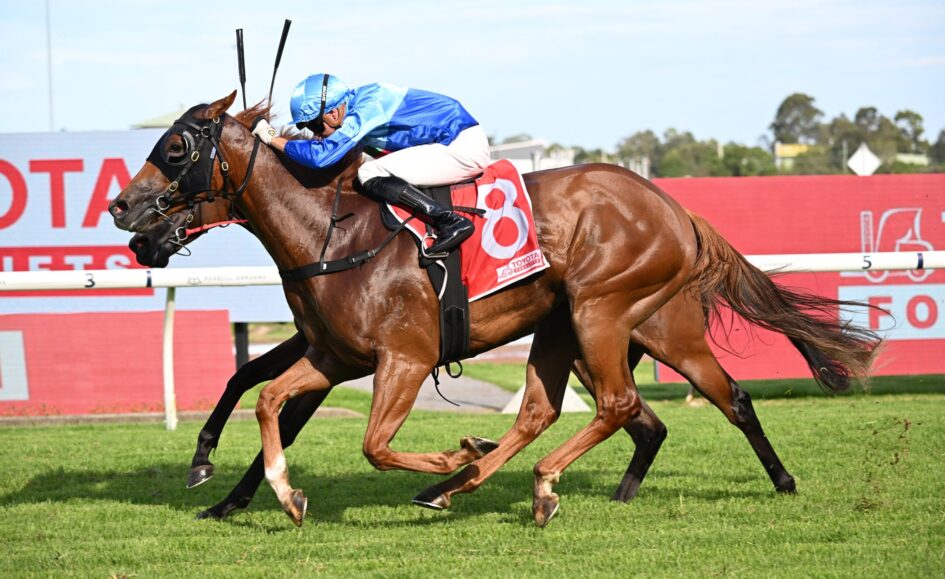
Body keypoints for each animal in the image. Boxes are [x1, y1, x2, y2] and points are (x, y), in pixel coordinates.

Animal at [111, 92, 880, 527]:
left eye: (174, 147)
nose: (123, 208)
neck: (331, 234)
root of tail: (672, 207)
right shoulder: (334, 355)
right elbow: (268, 398)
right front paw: (272, 493)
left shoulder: (404, 356)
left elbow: (373, 444)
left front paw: (455, 450)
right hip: (572, 325)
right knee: (562, 409)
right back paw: (476, 482)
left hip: (609, 312)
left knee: (631, 403)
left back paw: (529, 482)